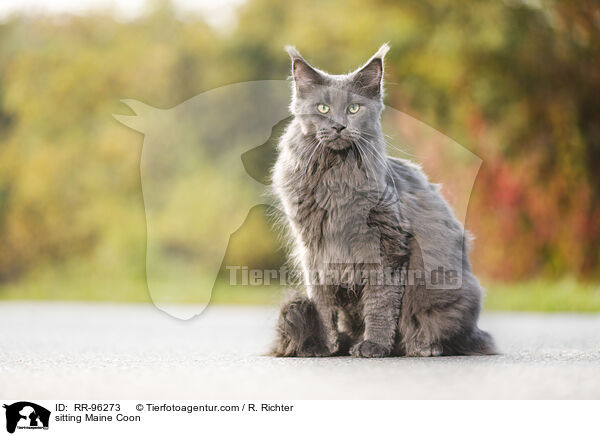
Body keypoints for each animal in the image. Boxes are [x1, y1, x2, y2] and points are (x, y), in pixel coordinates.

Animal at [270, 44, 494, 358]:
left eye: (354, 109)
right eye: (322, 108)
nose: (339, 126)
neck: (335, 176)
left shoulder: (387, 245)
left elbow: (381, 303)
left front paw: (373, 345)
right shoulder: (315, 250)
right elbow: (323, 305)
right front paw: (326, 346)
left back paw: (423, 347)